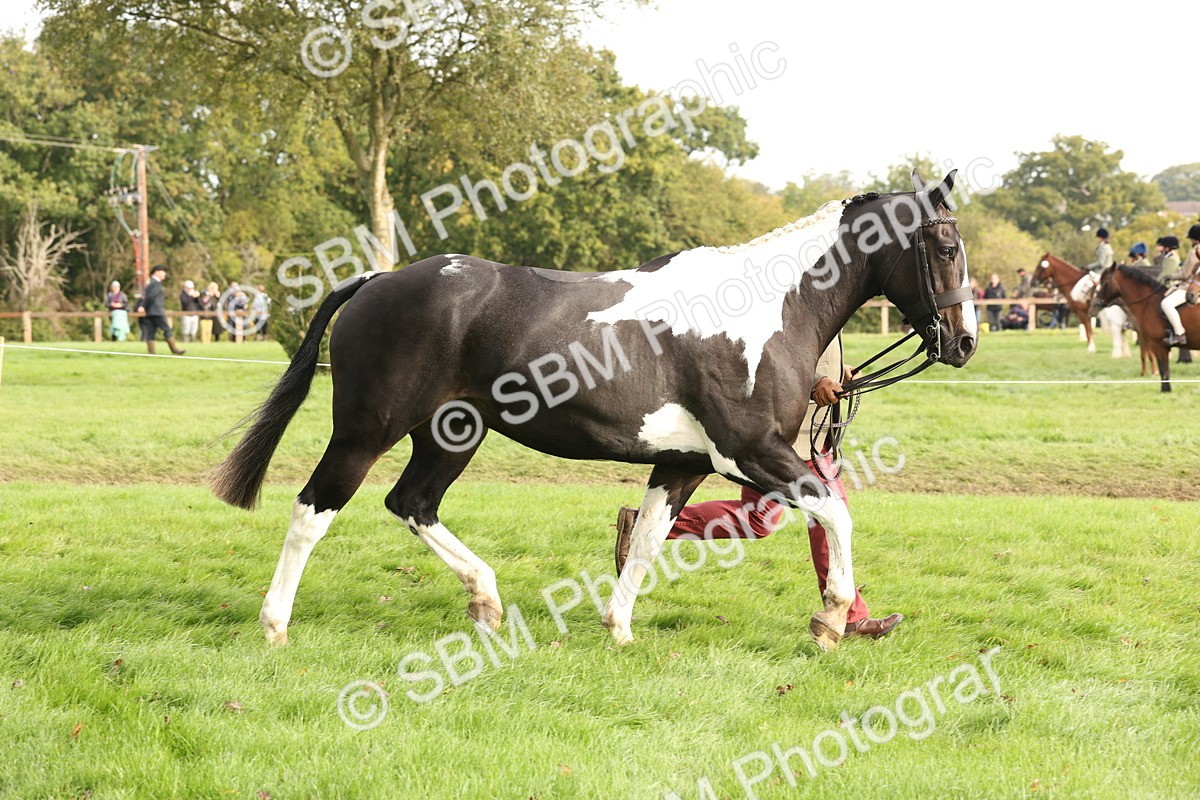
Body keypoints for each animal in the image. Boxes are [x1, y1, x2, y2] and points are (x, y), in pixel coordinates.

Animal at [210, 170, 977, 653]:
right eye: (944, 246)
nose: (964, 340)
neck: (764, 310)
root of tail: (377, 280)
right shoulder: (753, 453)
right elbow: (836, 512)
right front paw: (832, 621)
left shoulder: (684, 463)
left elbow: (646, 541)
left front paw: (619, 629)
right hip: (366, 431)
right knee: (313, 510)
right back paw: (275, 627)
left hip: (450, 436)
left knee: (412, 503)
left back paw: (486, 601)